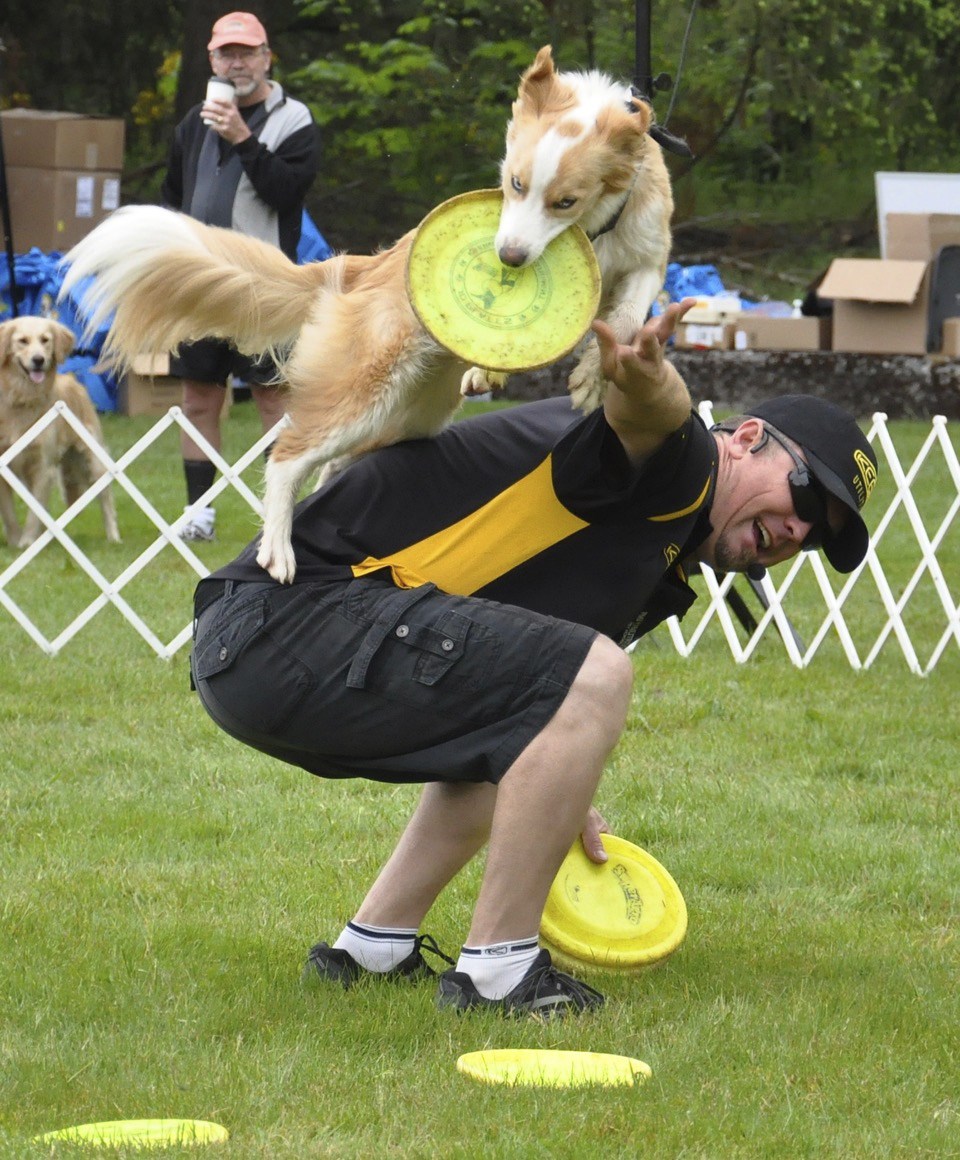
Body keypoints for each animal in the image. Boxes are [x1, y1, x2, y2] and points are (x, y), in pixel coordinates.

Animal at [0, 315, 119, 549]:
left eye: (45, 340)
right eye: (23, 341)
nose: (38, 359)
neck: (22, 399)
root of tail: (74, 380)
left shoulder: (43, 467)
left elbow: (33, 513)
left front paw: (27, 542)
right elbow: (9, 513)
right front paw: (16, 542)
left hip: (92, 461)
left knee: (106, 500)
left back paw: (114, 538)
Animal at [61, 47, 667, 580]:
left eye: (565, 201)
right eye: (514, 185)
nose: (509, 259)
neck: (596, 228)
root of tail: (359, 271)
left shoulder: (649, 255)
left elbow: (629, 313)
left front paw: (590, 373)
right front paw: (504, 367)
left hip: (407, 417)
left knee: (333, 467)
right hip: (365, 392)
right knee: (286, 457)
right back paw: (278, 549)